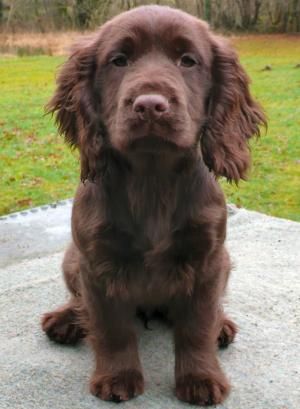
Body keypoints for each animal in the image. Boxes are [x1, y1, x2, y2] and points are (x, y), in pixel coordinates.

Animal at [41, 5, 264, 404]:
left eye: (188, 60)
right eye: (119, 60)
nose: (149, 105)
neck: (152, 176)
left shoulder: (207, 262)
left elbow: (197, 327)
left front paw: (200, 378)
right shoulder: (97, 264)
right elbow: (111, 327)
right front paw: (117, 377)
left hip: (225, 263)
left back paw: (222, 325)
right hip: (71, 260)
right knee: (79, 301)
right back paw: (67, 320)